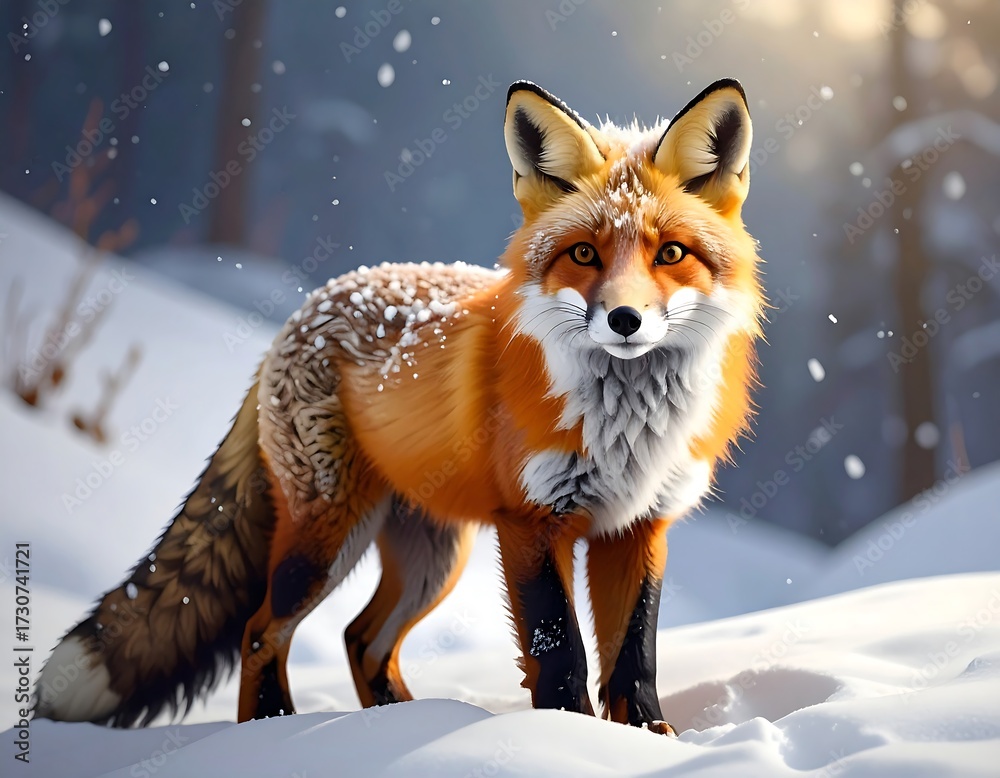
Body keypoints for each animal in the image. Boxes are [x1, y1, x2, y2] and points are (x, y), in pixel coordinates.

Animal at [35, 78, 763, 735]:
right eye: (584, 253)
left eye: (671, 253)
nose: (624, 320)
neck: (624, 429)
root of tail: (305, 309)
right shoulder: (531, 521)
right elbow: (559, 651)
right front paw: (564, 739)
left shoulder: (638, 526)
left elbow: (633, 657)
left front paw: (645, 742)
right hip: (328, 539)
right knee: (262, 630)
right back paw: (275, 728)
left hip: (432, 559)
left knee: (362, 639)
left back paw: (398, 725)